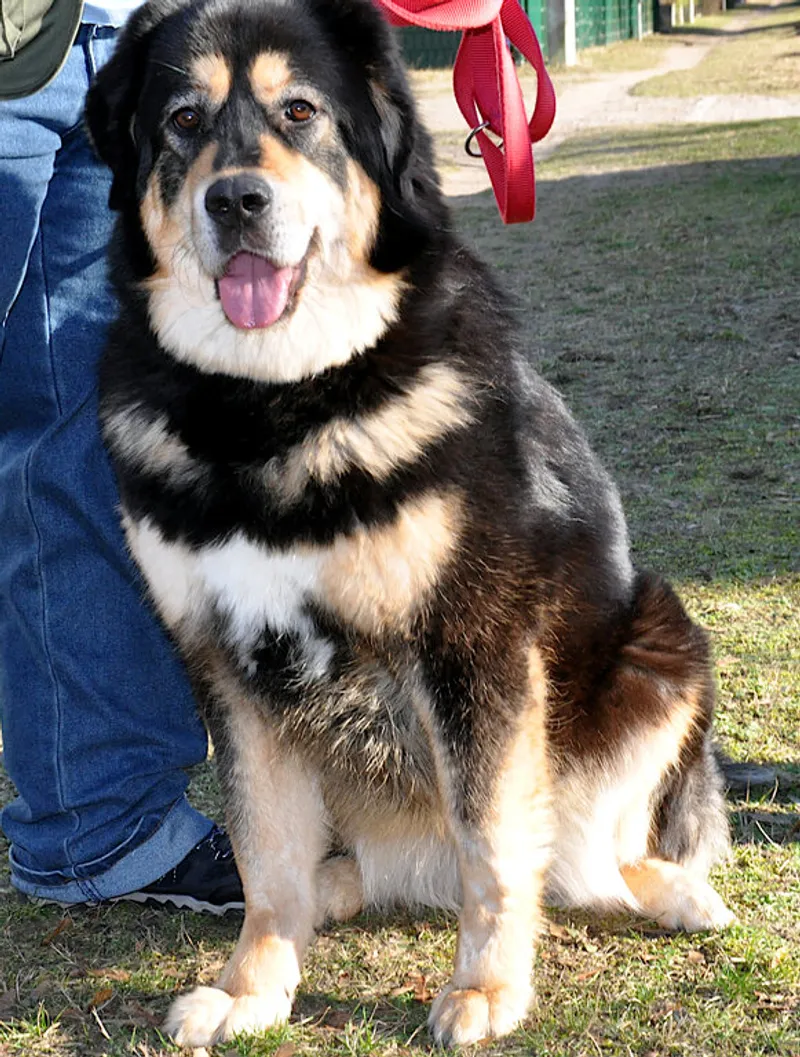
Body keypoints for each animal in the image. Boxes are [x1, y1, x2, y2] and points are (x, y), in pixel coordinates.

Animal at [85, 0, 734, 1046]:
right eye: (182, 120)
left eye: (300, 111)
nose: (236, 202)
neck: (272, 404)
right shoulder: (227, 665)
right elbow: (265, 856)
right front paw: (252, 985)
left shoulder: (472, 646)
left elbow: (494, 843)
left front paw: (488, 988)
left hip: (660, 648)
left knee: (587, 858)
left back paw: (673, 890)